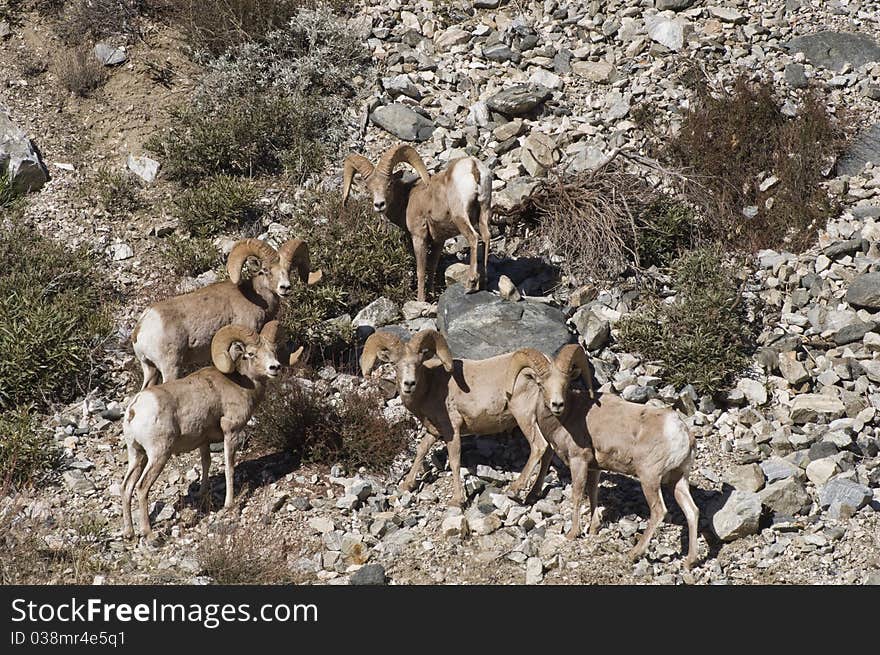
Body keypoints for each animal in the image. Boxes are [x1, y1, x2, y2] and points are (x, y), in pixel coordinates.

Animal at [120, 320, 300, 540]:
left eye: (273, 350)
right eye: (251, 354)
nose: (275, 367)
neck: (242, 383)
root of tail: (135, 409)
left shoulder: (203, 441)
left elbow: (206, 464)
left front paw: (202, 495)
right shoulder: (231, 432)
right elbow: (229, 468)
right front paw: (229, 504)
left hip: (137, 454)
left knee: (126, 487)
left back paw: (129, 532)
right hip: (158, 455)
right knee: (141, 487)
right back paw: (149, 534)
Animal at [132, 237, 322, 386]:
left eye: (289, 270)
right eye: (266, 270)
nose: (285, 288)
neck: (254, 297)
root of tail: (142, 328)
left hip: (150, 370)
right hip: (170, 367)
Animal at [342, 144, 492, 302]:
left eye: (389, 184)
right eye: (368, 188)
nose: (379, 205)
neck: (406, 199)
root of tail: (473, 167)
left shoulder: (419, 237)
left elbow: (421, 271)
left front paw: (420, 300)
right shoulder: (439, 241)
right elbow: (432, 268)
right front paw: (431, 295)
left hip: (461, 217)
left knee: (474, 238)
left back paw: (470, 284)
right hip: (484, 212)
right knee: (486, 237)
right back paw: (484, 282)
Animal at [358, 330, 592, 510]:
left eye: (418, 363)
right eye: (395, 364)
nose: (409, 384)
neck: (431, 387)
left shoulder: (451, 429)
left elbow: (454, 460)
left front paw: (457, 501)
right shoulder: (434, 431)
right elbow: (422, 450)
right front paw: (406, 485)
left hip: (524, 415)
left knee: (539, 447)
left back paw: (514, 490)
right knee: (548, 451)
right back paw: (532, 494)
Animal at [506, 352, 696, 572]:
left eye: (565, 383)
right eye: (541, 384)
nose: (557, 405)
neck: (569, 416)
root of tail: (683, 433)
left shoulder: (578, 461)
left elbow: (578, 495)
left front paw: (573, 533)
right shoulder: (595, 468)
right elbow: (593, 493)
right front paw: (594, 528)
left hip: (649, 478)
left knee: (658, 511)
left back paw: (634, 553)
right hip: (678, 480)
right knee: (692, 512)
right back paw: (690, 561)